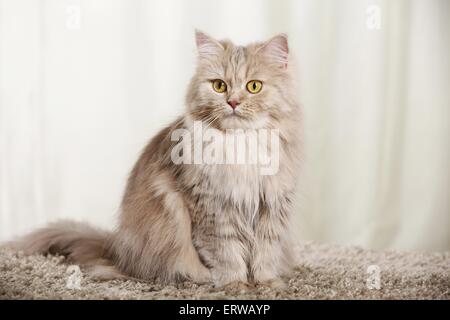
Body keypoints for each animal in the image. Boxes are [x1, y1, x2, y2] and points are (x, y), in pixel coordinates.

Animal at [5, 30, 302, 288]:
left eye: (254, 86)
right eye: (219, 86)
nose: (233, 102)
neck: (240, 145)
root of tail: (115, 249)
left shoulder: (272, 205)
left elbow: (265, 253)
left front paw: (267, 284)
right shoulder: (211, 207)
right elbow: (227, 253)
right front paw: (235, 284)